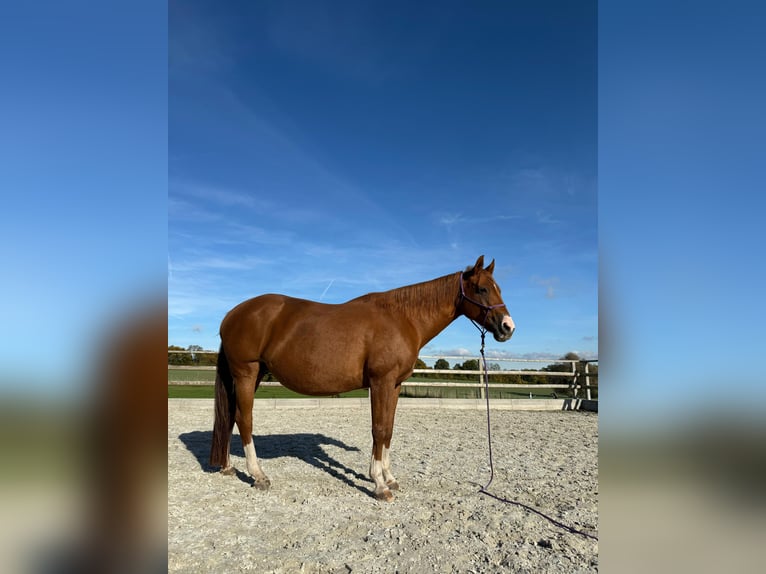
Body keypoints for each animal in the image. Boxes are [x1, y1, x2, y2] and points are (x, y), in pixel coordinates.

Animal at [209, 255, 515, 501]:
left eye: (498, 288)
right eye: (482, 288)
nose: (507, 327)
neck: (402, 318)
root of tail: (231, 315)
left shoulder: (394, 385)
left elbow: (388, 429)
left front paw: (389, 477)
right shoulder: (381, 382)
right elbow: (378, 429)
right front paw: (380, 485)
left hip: (253, 374)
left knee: (232, 416)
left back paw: (227, 466)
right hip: (247, 372)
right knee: (244, 419)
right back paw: (258, 476)